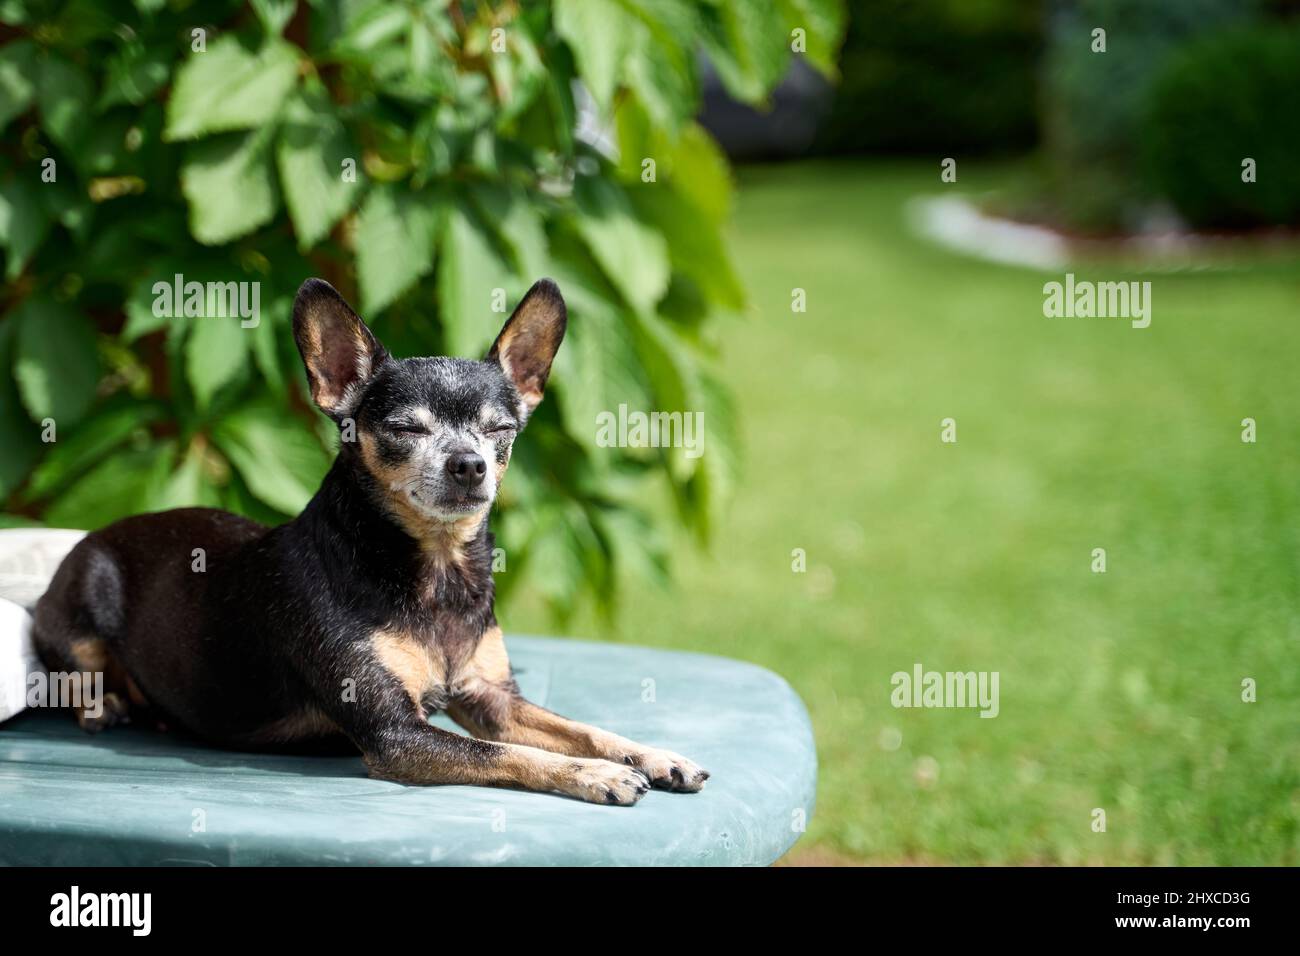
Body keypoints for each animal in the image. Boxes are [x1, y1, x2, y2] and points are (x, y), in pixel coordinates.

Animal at [30, 278, 707, 806]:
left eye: (500, 430)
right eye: (405, 429)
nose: (469, 465)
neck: (437, 569)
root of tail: (96, 535)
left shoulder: (492, 700)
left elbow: (581, 728)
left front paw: (650, 754)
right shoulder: (395, 733)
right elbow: (504, 756)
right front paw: (595, 774)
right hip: (81, 616)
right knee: (83, 680)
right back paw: (113, 705)